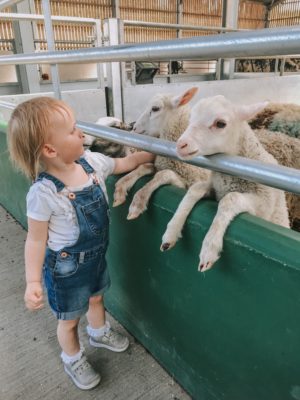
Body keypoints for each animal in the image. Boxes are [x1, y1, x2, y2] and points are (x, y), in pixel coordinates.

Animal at [162, 96, 290, 272]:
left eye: (220, 124)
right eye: (191, 119)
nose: (181, 145)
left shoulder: (264, 205)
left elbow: (231, 198)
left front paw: (209, 248)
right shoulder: (216, 188)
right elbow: (195, 188)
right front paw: (171, 232)